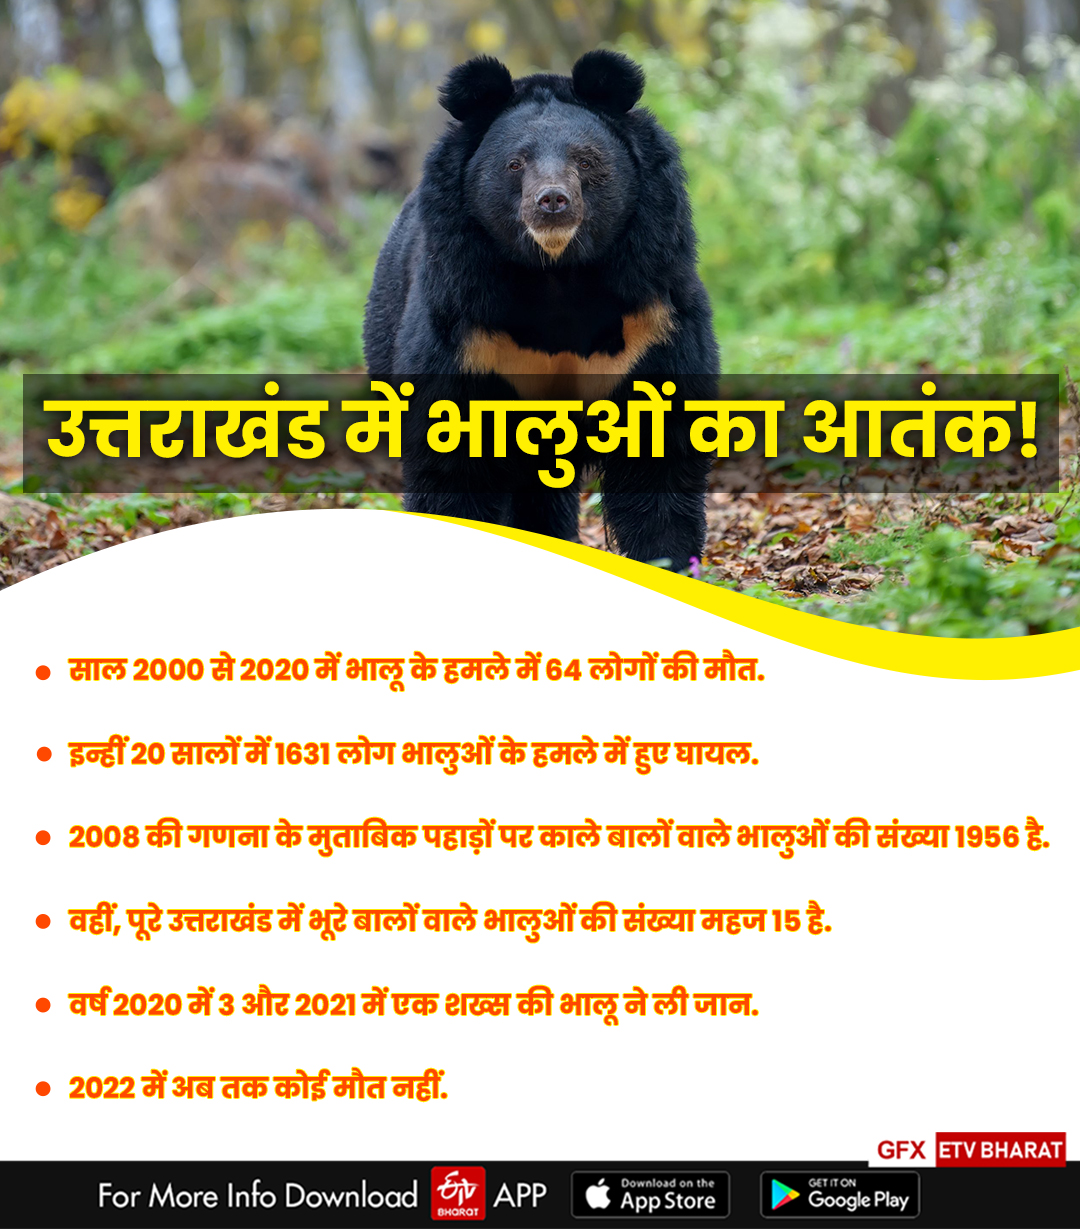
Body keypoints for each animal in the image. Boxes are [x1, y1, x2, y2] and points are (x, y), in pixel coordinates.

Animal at [363, 50, 719, 569]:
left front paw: (667, 561)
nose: (552, 201)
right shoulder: (467, 325)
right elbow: (453, 458)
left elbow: (660, 451)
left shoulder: (652, 314)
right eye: (515, 163)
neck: (557, 274)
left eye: (586, 160)